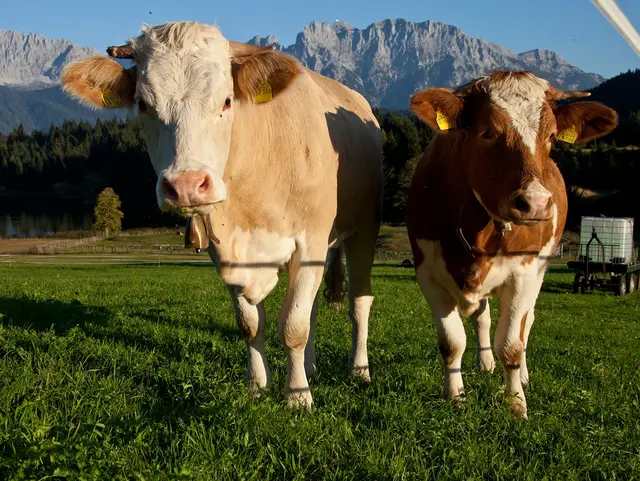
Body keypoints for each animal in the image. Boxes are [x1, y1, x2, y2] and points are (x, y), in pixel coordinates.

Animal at [60, 20, 382, 406]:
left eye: (226, 101)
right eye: (142, 104)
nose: (186, 185)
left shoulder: (311, 242)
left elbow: (293, 325)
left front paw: (298, 396)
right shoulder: (223, 249)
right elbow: (251, 324)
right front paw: (258, 385)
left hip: (364, 227)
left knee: (359, 302)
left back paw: (359, 370)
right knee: (316, 306)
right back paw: (312, 366)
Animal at [408, 71, 616, 416]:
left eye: (552, 136)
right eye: (487, 131)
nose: (536, 203)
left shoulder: (524, 273)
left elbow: (511, 344)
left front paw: (517, 403)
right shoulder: (428, 274)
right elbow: (452, 342)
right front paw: (455, 396)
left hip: (539, 272)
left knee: (525, 323)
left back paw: (524, 376)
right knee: (482, 318)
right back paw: (485, 363)